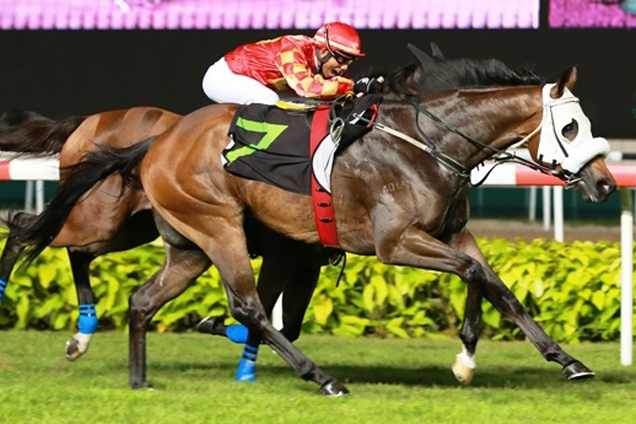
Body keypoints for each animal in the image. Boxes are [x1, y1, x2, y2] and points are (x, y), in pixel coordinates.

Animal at [7, 46, 616, 394]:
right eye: (570, 128)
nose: (606, 183)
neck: (427, 142)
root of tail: (158, 141)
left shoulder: (450, 231)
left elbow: (494, 284)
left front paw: (564, 361)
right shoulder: (395, 242)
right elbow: (472, 274)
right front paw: (466, 358)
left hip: (187, 242)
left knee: (141, 298)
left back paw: (138, 380)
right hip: (203, 226)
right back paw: (321, 378)